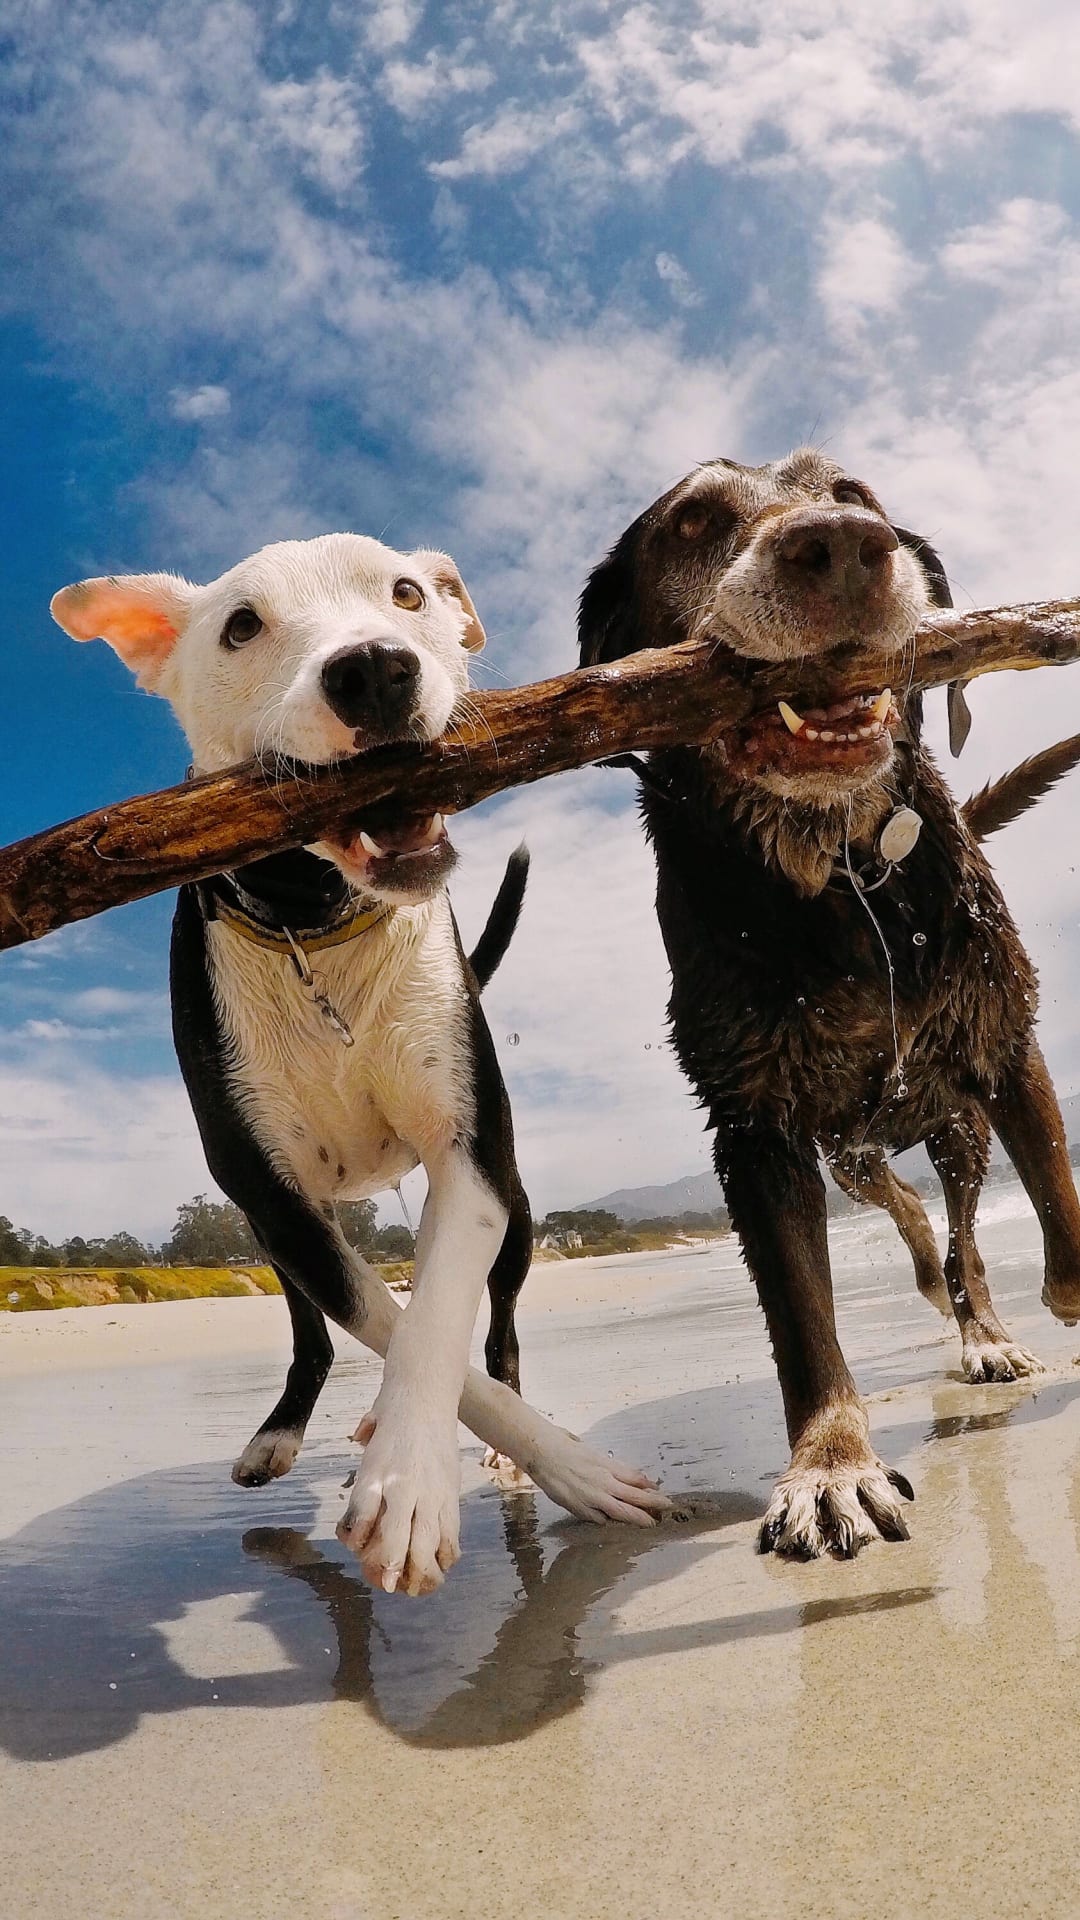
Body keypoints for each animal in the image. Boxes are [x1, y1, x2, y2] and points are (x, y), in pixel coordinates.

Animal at [576, 449, 1076, 1559]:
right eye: (693, 522)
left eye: (856, 495)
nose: (844, 547)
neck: (840, 878)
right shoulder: (752, 1125)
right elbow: (802, 1319)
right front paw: (833, 1466)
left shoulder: (1004, 1044)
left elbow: (1062, 1226)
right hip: (848, 1147)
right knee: (904, 1210)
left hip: (956, 1131)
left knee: (966, 1234)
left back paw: (984, 1331)